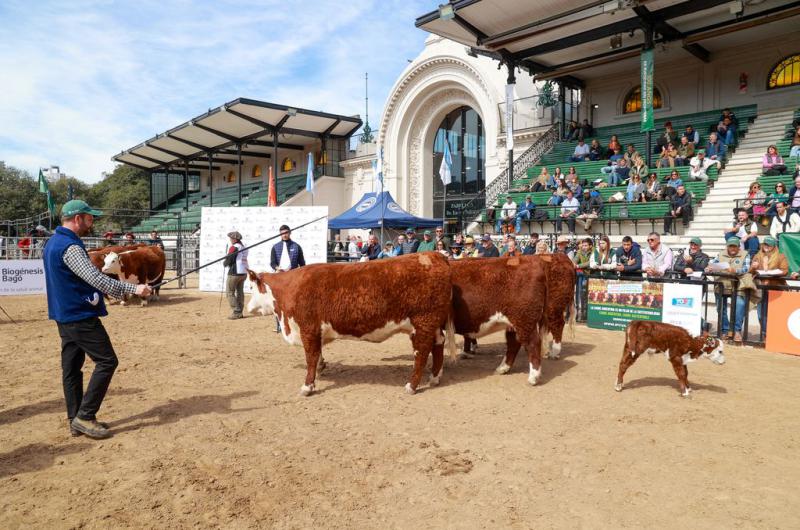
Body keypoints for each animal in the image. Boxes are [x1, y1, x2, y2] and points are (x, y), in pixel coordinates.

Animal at [244, 252, 456, 396]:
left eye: (252, 287)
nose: (248, 307)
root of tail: (433, 255)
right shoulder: (316, 332)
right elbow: (318, 355)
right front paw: (321, 368)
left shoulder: (308, 329)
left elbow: (311, 357)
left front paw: (307, 386)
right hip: (433, 323)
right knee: (438, 343)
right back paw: (435, 377)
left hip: (423, 321)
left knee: (421, 352)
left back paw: (411, 386)